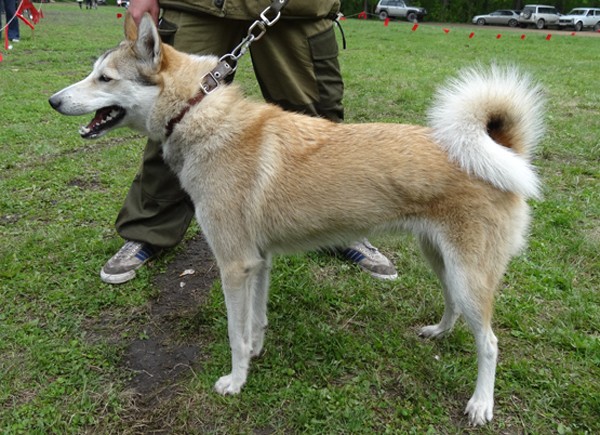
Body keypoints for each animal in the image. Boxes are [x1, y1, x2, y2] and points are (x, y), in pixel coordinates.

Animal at [49, 13, 544, 426]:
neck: (196, 111)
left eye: (105, 78)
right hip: (442, 261)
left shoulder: (234, 265)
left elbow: (234, 331)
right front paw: (255, 354)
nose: (52, 100)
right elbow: (255, 321)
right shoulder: (259, 261)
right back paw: (437, 332)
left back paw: (481, 404)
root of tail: (500, 150)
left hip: (467, 272)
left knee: (489, 342)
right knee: (455, 308)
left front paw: (235, 381)